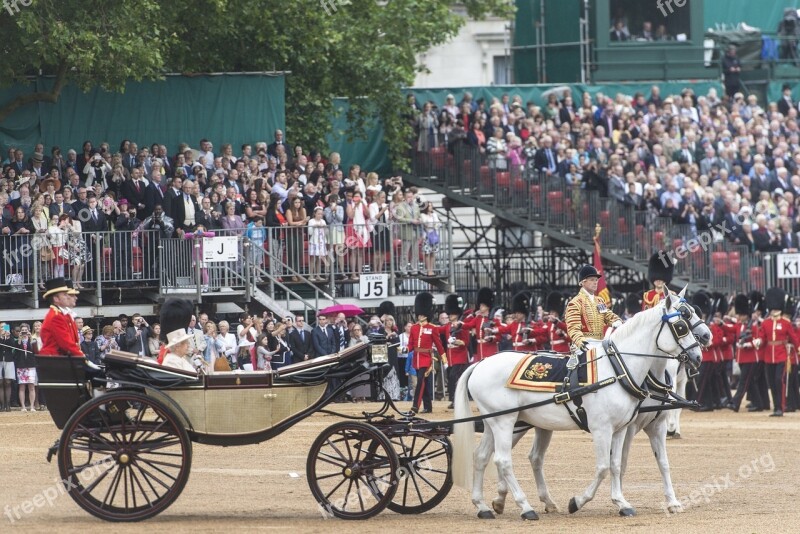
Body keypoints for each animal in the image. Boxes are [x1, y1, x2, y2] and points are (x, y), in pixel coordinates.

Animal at [454, 292, 704, 520]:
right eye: (681, 325)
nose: (698, 354)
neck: (619, 369)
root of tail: (481, 363)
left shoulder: (624, 428)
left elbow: (618, 464)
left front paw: (623, 502)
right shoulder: (602, 428)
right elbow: (603, 467)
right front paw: (578, 501)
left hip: (499, 423)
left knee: (485, 456)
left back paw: (485, 506)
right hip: (505, 422)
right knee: (503, 460)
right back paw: (524, 507)